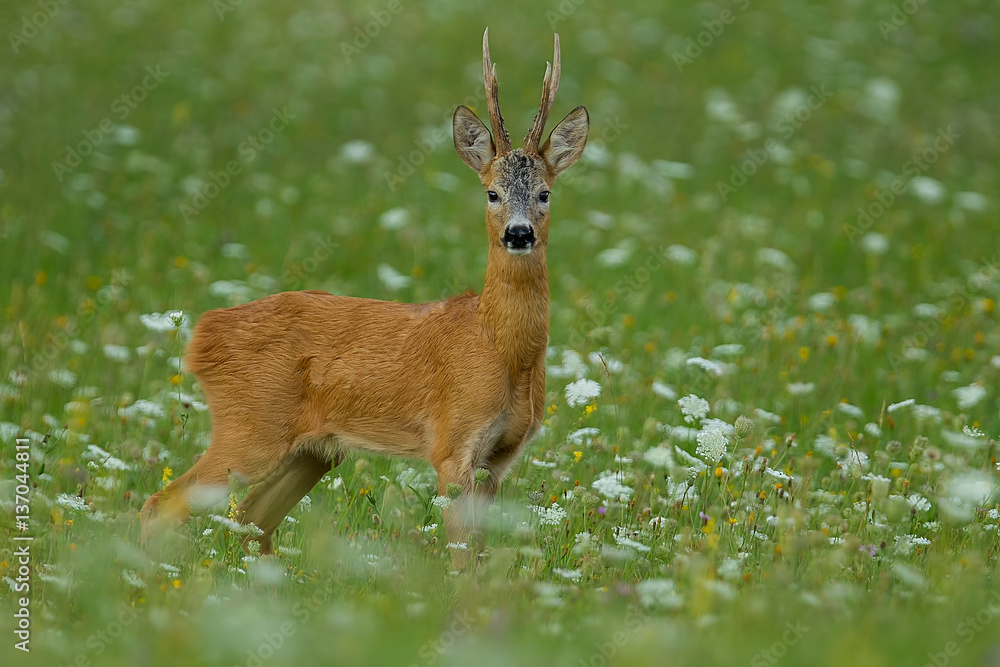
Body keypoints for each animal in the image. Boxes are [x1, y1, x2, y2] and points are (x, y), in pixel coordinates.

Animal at [140, 28, 589, 569]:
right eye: (492, 193)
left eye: (544, 193)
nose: (519, 234)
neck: (500, 348)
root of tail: (201, 333)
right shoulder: (450, 444)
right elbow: (462, 559)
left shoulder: (499, 459)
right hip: (249, 427)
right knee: (162, 504)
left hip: (314, 450)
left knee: (252, 519)